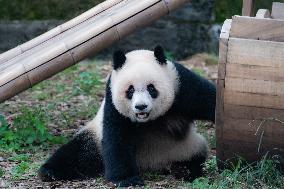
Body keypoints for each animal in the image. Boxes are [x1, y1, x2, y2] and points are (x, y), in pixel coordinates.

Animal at [38, 45, 215, 186]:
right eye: (130, 90)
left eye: (151, 88)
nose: (141, 107)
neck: (147, 121)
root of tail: (152, 165)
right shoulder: (112, 101)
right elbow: (117, 137)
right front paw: (127, 179)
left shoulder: (180, 84)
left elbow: (208, 99)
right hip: (95, 139)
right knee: (79, 153)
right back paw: (49, 172)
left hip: (186, 147)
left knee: (194, 160)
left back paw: (185, 171)